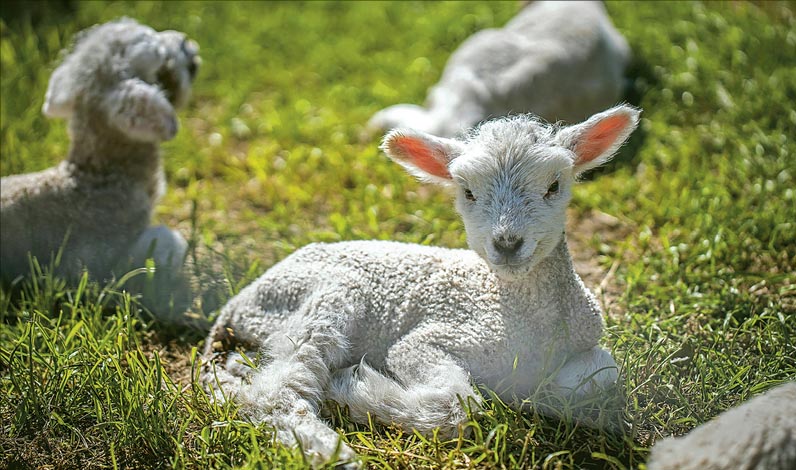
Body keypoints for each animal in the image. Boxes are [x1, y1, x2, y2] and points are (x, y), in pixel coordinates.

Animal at [201, 104, 640, 466]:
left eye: (554, 186)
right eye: (467, 192)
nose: (507, 244)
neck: (517, 313)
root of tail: (236, 303)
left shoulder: (587, 342)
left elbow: (602, 374)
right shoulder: (430, 339)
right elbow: (459, 406)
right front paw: (356, 390)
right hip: (322, 297)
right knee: (276, 391)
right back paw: (329, 449)